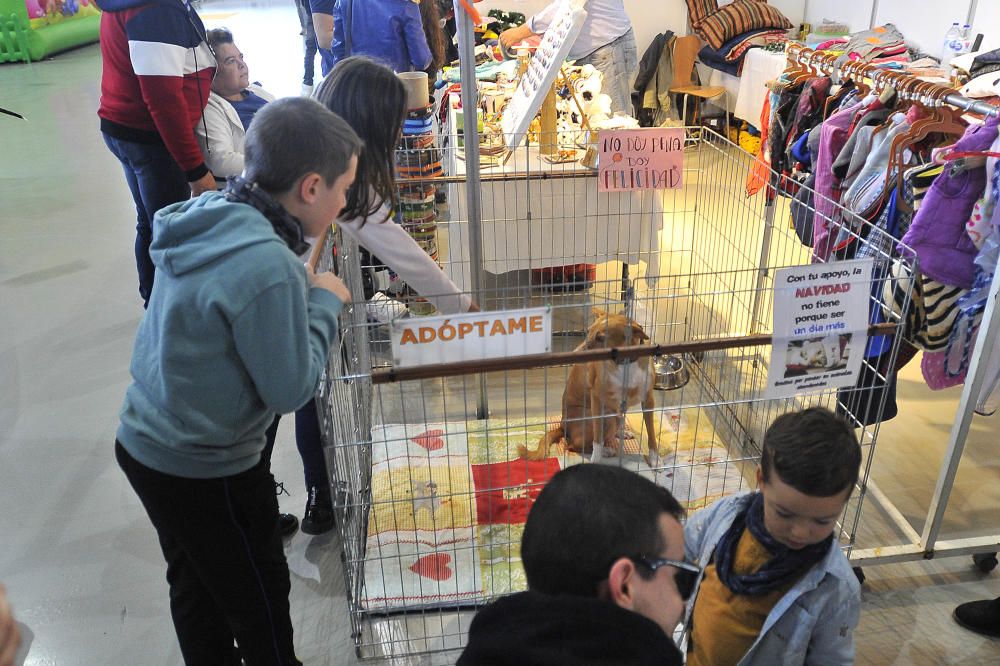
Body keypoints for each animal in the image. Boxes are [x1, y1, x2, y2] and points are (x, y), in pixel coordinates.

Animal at [520, 308, 660, 464]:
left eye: (601, 338)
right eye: (587, 331)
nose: (574, 356)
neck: (626, 364)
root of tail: (563, 425)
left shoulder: (648, 400)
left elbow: (652, 434)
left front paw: (655, 459)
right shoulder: (597, 399)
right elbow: (597, 440)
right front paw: (595, 459)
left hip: (615, 414)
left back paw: (622, 434)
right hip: (607, 418)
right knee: (573, 446)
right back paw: (607, 450)